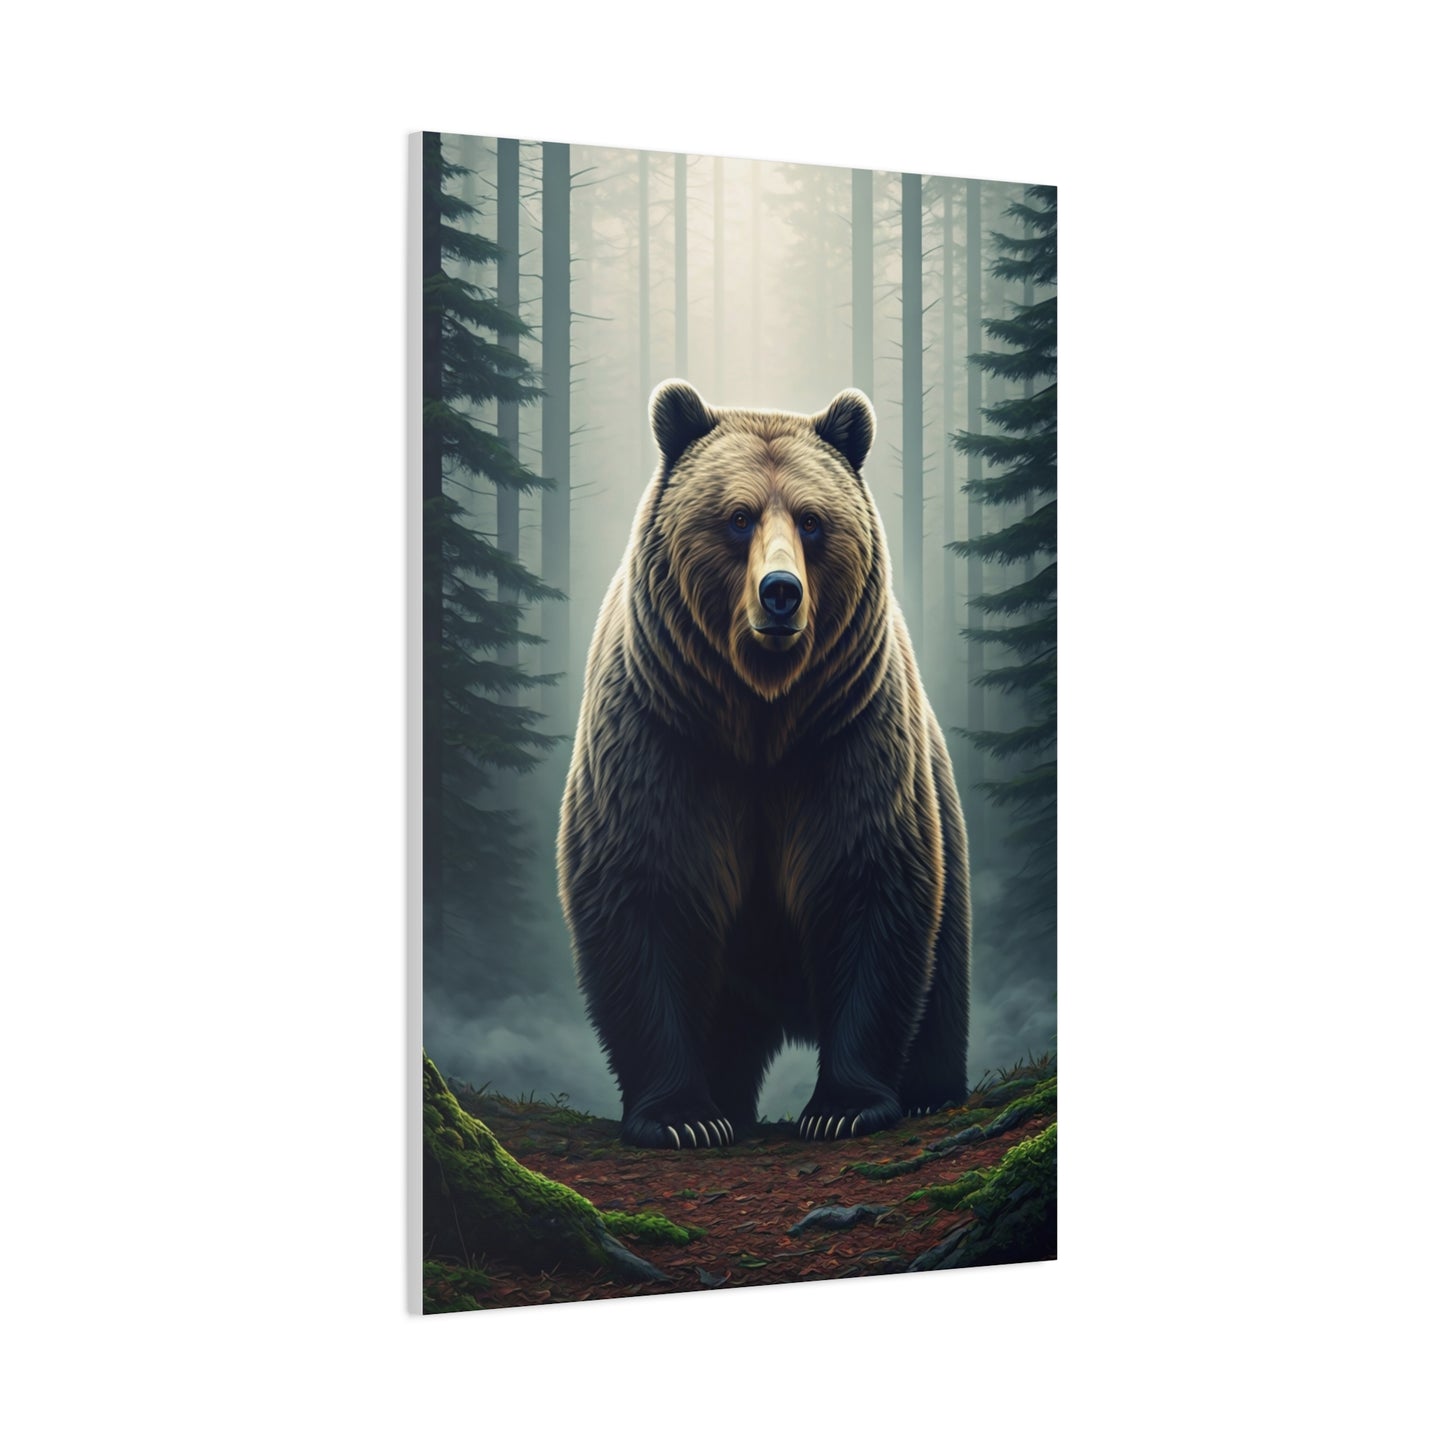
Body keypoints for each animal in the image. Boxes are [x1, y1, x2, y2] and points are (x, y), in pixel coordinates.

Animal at [558, 380, 970, 1148]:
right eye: (738, 517)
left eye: (811, 521)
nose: (781, 592)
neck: (761, 718)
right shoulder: (662, 738)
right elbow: (645, 892)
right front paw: (682, 1118)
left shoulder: (847, 740)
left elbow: (870, 886)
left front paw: (842, 1106)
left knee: (943, 975)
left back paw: (932, 1093)